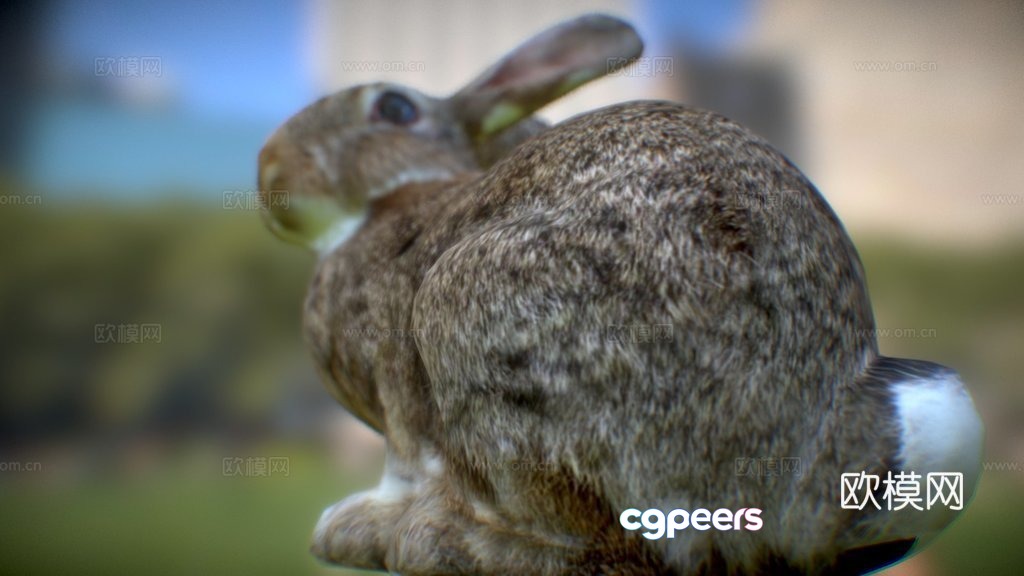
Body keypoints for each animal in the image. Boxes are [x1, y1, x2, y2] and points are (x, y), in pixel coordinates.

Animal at [256, 13, 984, 576]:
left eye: (395, 108)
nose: (268, 175)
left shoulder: (400, 394)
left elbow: (406, 458)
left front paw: (356, 520)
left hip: (477, 317)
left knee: (607, 550)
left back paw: (422, 539)